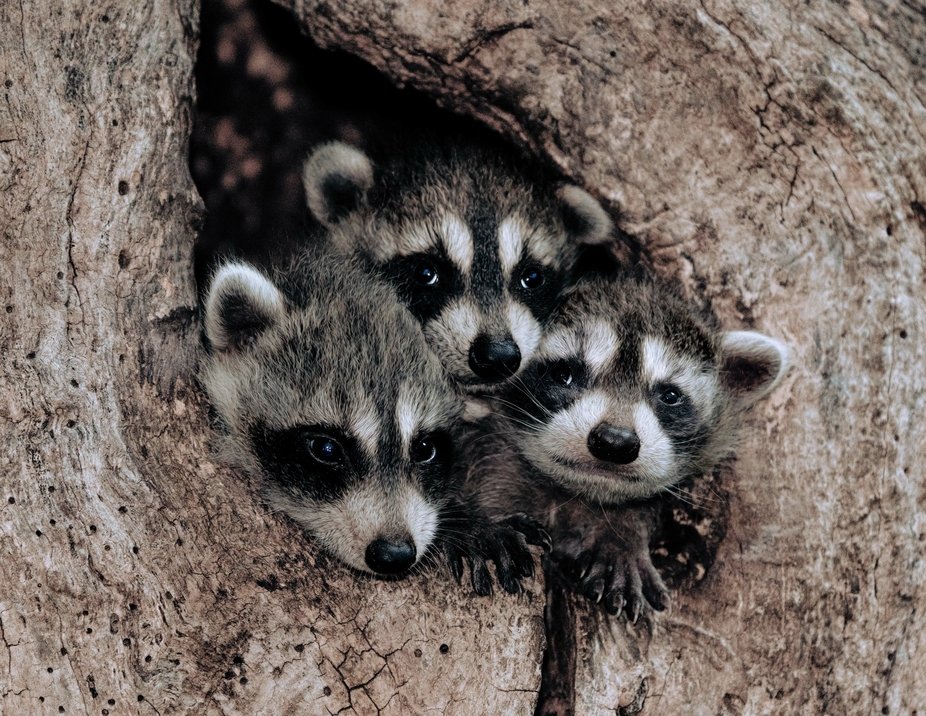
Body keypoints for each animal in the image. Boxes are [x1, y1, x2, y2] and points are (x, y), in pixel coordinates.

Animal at [468, 272, 790, 616]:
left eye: (670, 396)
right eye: (563, 373)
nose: (614, 441)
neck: (579, 491)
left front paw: (622, 534)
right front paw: (483, 524)